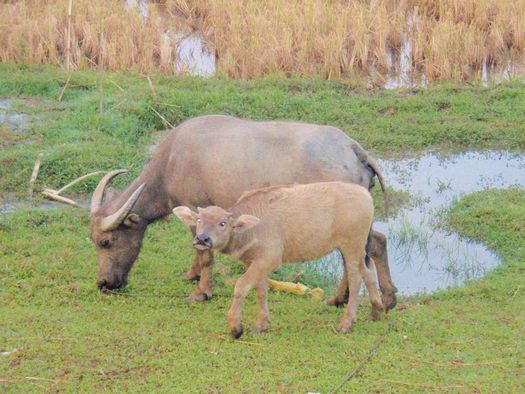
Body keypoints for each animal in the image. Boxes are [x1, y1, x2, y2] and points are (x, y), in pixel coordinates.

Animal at [91, 115, 398, 310]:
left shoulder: (197, 210)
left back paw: (340, 299)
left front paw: (201, 292)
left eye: (106, 242)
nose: (104, 283)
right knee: (375, 243)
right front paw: (192, 275)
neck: (170, 163)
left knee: (354, 256)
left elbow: (204, 253)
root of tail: (352, 149)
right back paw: (384, 298)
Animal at [174, 182, 382, 338]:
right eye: (199, 220)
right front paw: (261, 324)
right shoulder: (257, 262)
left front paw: (236, 327)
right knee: (368, 271)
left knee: (355, 279)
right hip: (357, 248)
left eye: (222, 223)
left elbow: (241, 286)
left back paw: (347, 323)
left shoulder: (269, 259)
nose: (202, 239)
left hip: (352, 246)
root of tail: (365, 195)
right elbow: (261, 290)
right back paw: (376, 310)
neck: (251, 230)